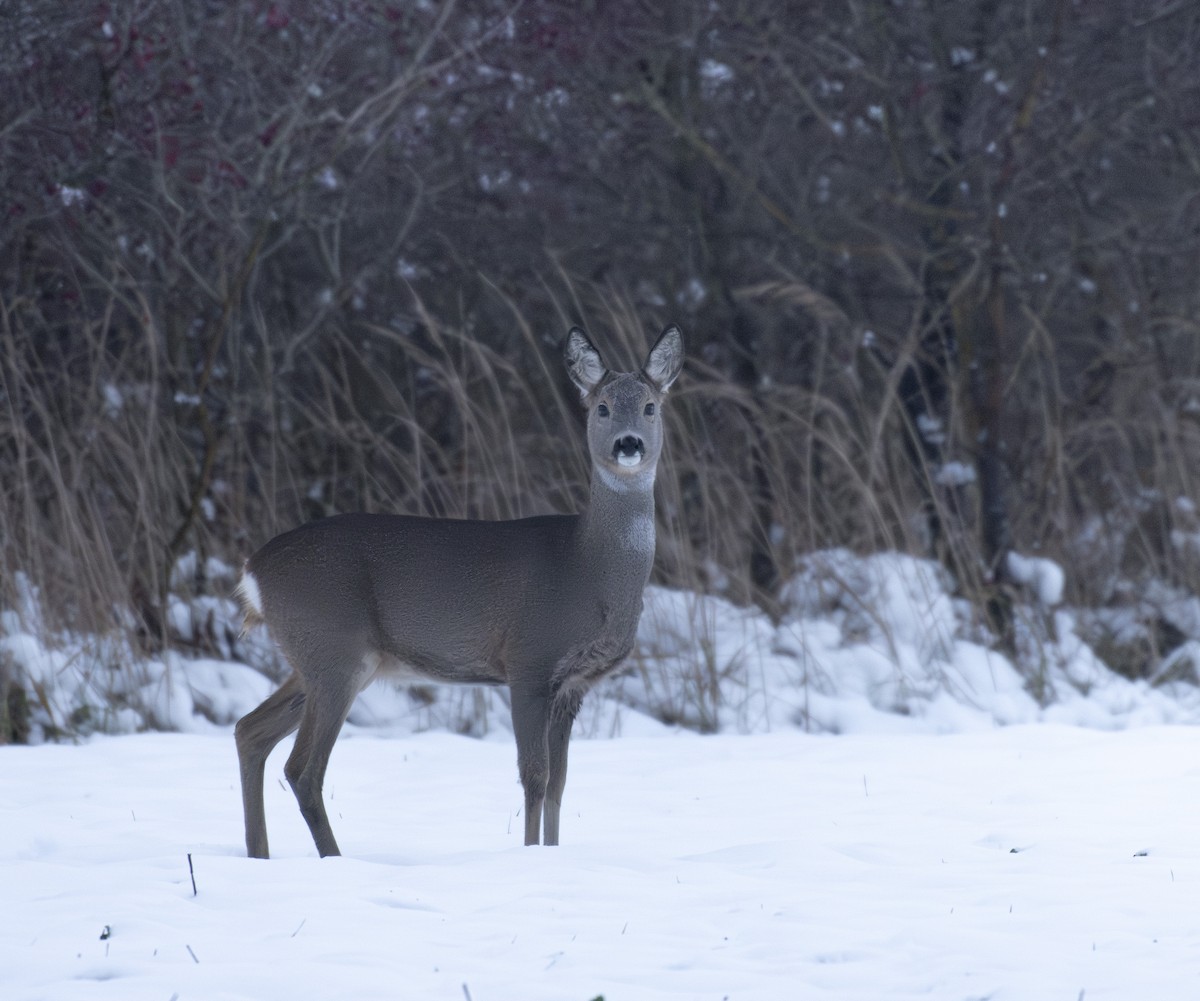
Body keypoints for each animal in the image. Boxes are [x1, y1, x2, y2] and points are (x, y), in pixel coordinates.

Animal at [233, 324, 684, 858]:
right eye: (602, 407)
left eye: (651, 407)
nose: (628, 444)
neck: (589, 568)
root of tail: (253, 572)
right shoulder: (529, 661)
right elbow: (535, 776)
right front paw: (530, 856)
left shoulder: (573, 685)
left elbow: (559, 784)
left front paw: (552, 856)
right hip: (333, 651)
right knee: (302, 769)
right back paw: (332, 860)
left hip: (317, 658)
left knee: (250, 731)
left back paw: (260, 856)